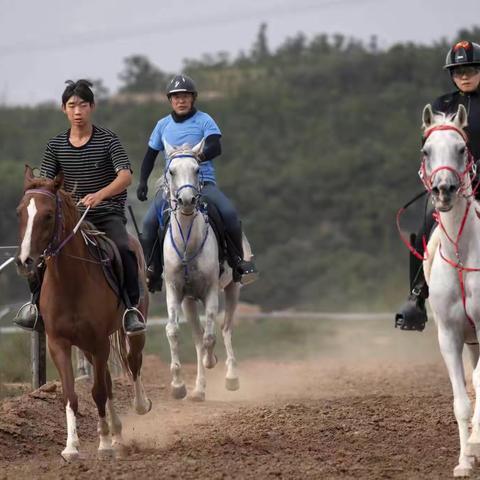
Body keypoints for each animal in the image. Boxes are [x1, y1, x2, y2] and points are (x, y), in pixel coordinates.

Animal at [16, 166, 152, 462]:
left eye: (48, 215)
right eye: (20, 212)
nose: (25, 262)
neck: (71, 282)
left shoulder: (100, 342)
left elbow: (98, 392)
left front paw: (103, 445)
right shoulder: (59, 343)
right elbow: (72, 395)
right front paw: (71, 447)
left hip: (130, 330)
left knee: (133, 363)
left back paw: (139, 406)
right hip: (88, 347)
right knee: (111, 382)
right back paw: (117, 435)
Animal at [163, 142, 249, 402]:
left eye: (197, 168)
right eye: (171, 171)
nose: (187, 200)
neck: (187, 245)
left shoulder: (211, 290)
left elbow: (211, 336)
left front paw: (212, 361)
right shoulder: (174, 291)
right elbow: (174, 331)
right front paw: (178, 386)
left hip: (232, 289)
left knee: (225, 329)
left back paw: (231, 377)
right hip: (189, 303)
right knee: (198, 338)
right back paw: (199, 389)